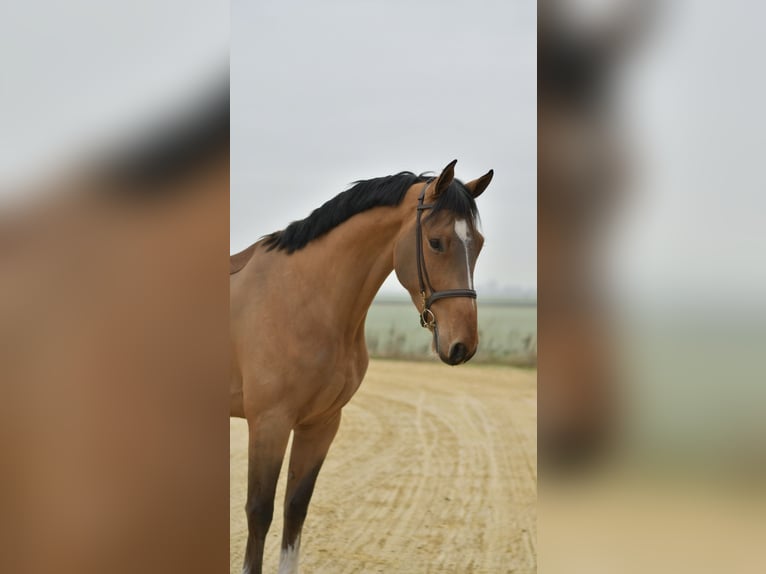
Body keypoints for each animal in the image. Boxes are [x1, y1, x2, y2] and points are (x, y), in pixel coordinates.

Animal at [229, 159, 493, 574]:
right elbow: (260, 513)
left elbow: (295, 508)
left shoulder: (320, 425)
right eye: (436, 242)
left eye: (478, 244)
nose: (462, 345)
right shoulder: (268, 423)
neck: (304, 297)